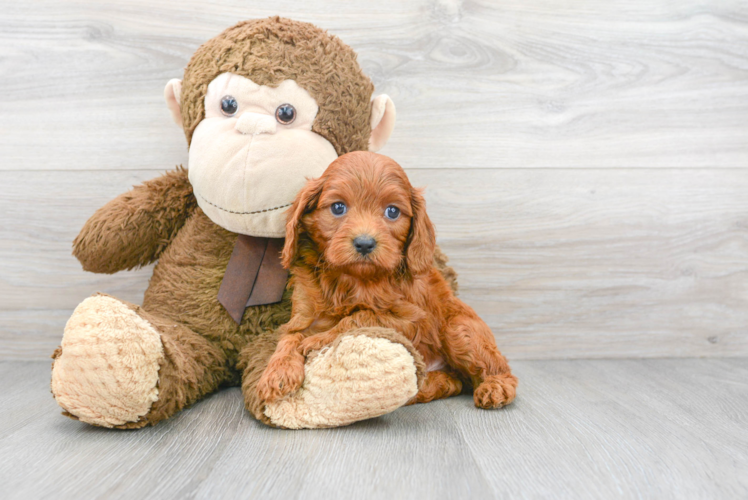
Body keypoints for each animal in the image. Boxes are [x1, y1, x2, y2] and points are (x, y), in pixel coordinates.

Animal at [256, 152, 516, 410]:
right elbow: (290, 337)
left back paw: (495, 387)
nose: (364, 243)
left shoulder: (411, 320)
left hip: (460, 330)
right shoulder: (303, 315)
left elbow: (363, 315)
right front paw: (277, 372)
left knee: (495, 369)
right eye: (338, 207)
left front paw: (318, 339)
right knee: (453, 382)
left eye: (392, 211)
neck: (351, 279)